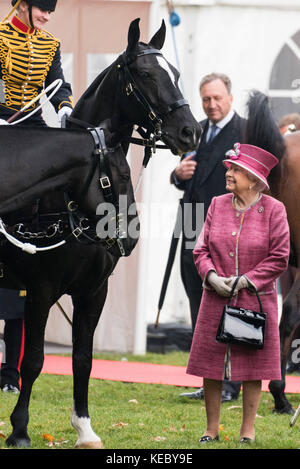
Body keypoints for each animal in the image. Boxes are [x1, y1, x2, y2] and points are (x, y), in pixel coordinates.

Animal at [2, 19, 200, 450]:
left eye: (176, 74)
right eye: (146, 74)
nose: (190, 132)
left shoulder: (94, 289)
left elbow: (83, 357)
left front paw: (84, 427)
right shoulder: (41, 288)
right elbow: (35, 358)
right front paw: (20, 429)